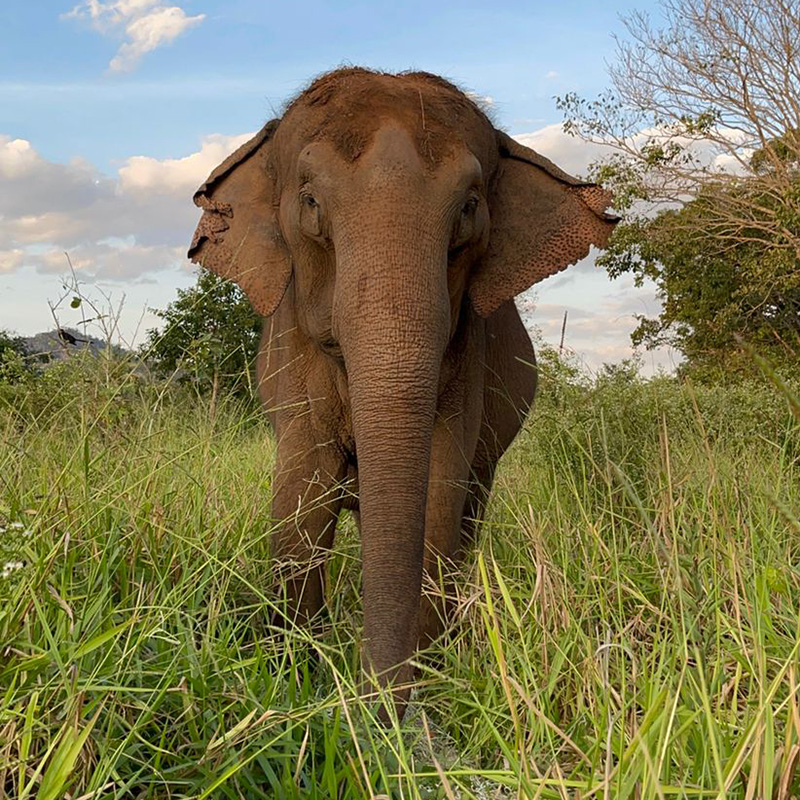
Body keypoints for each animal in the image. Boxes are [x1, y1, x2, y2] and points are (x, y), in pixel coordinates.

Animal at [188, 67, 616, 719]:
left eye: (469, 208)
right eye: (310, 202)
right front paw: (293, 681)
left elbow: (438, 492)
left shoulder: (466, 356)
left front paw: (421, 695)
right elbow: (303, 490)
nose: (379, 703)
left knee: (469, 511)